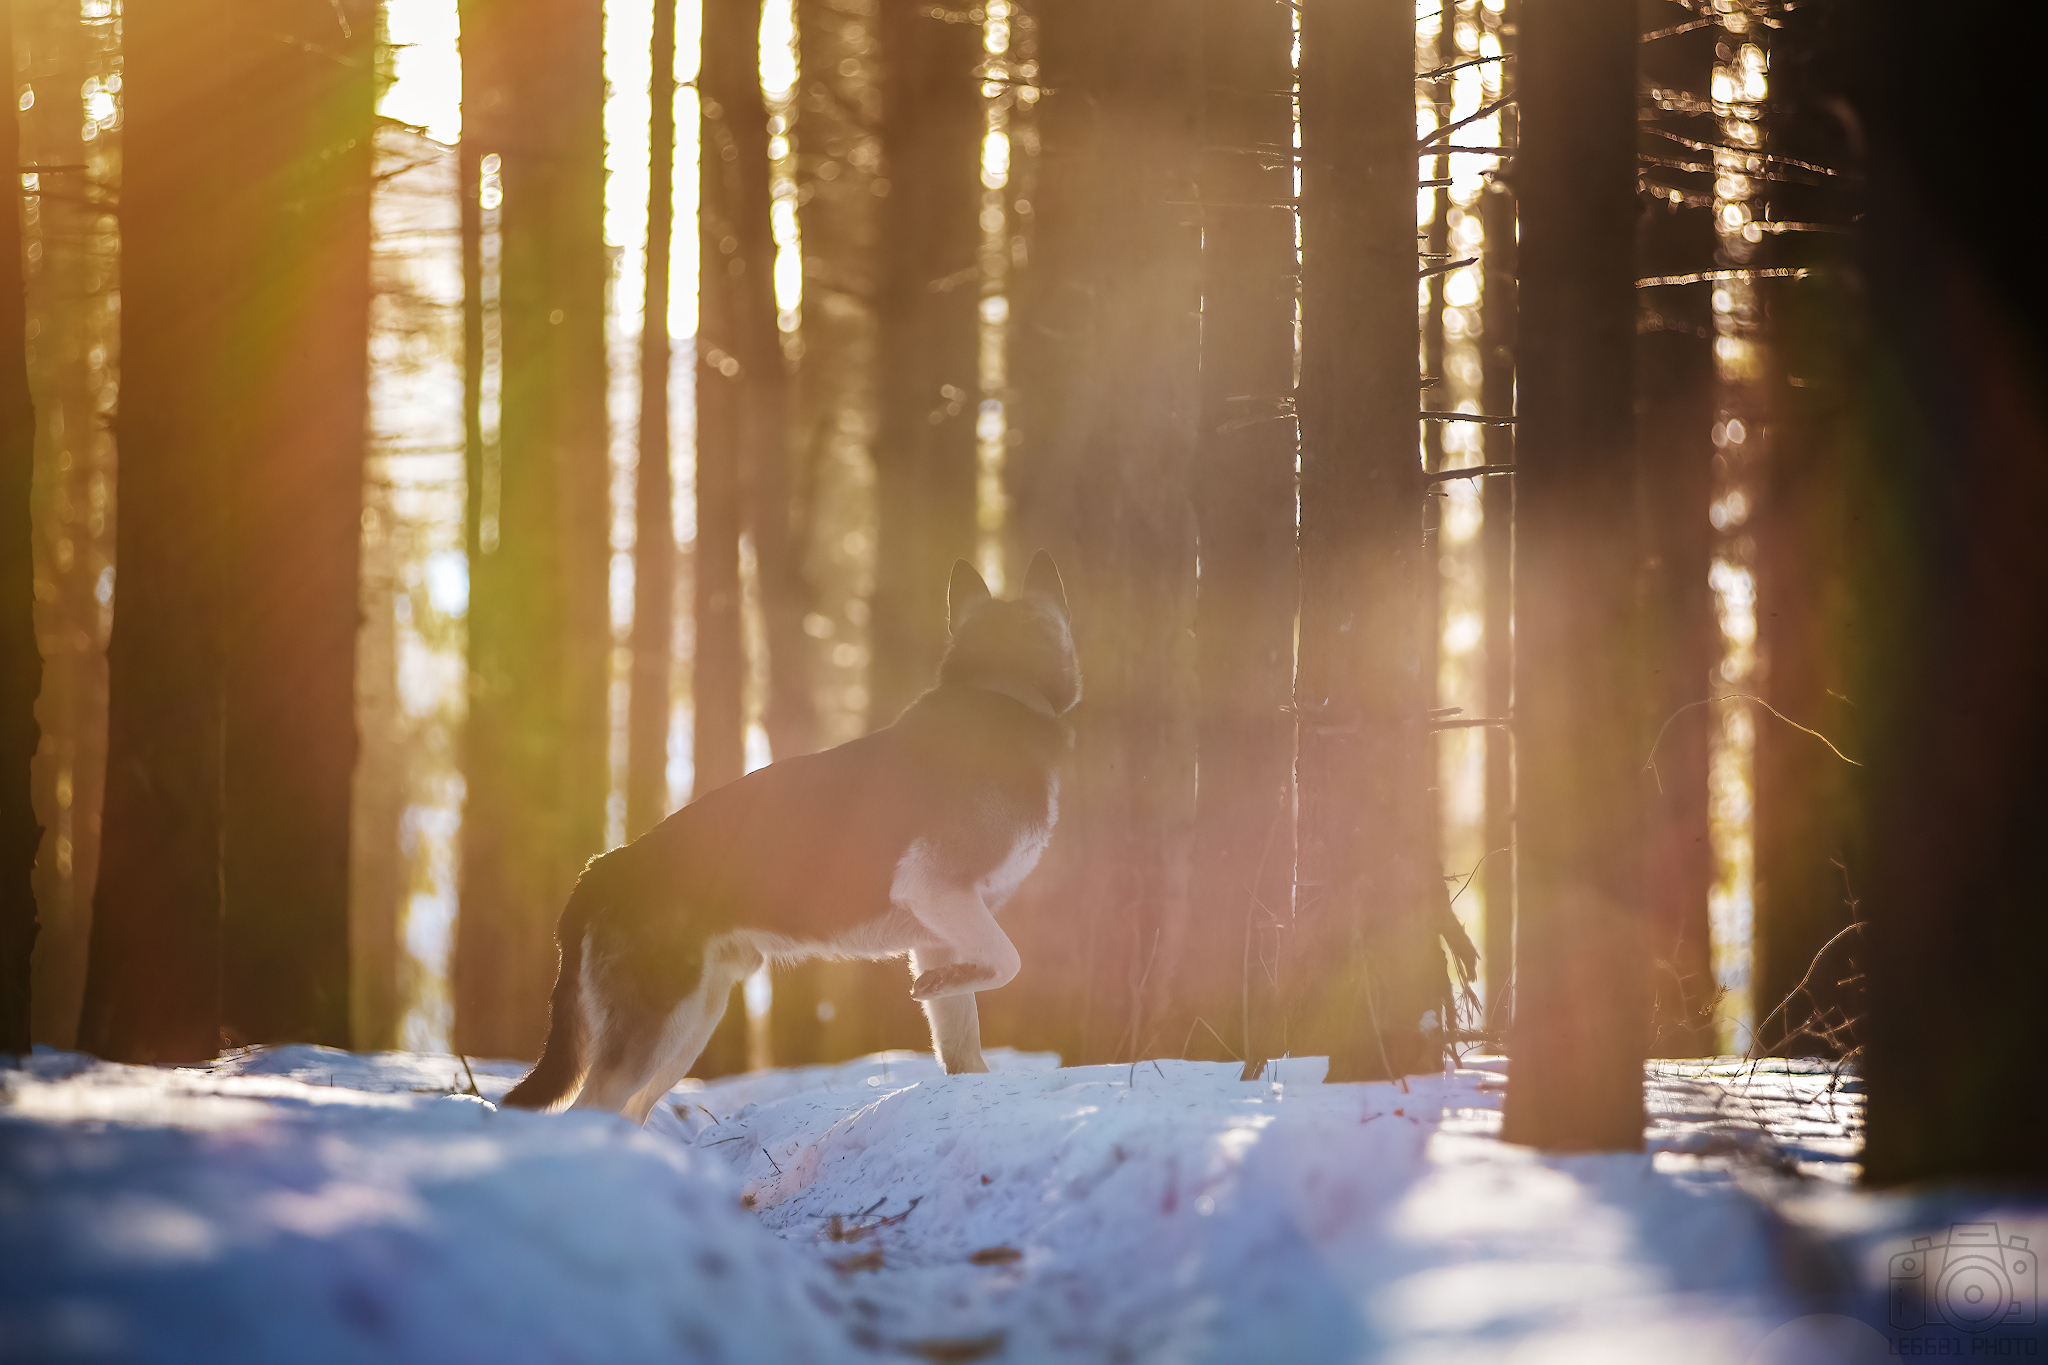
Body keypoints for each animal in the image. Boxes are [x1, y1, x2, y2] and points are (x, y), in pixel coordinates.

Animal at [503, 552, 1081, 1121]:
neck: (1003, 686)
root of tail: (604, 865)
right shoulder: (934, 887)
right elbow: (1009, 962)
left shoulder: (937, 934)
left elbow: (964, 1043)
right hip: (660, 1023)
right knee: (588, 1108)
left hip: (691, 1023)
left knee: (633, 1108)